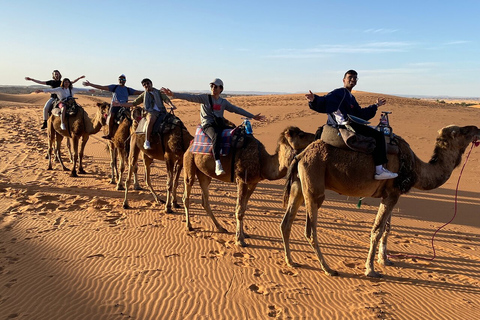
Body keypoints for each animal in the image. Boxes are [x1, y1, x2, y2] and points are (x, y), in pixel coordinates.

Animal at [183, 126, 316, 246]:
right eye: (301, 135)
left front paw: (243, 235)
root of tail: (190, 145)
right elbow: (239, 210)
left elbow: (244, 208)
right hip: (189, 163)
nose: (315, 135)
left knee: (205, 200)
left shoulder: (253, 183)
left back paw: (221, 228)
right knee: (187, 193)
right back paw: (189, 226)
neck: (262, 161)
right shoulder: (242, 180)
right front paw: (239, 241)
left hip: (205, 174)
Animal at [282, 125, 480, 278]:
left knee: (286, 223)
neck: (416, 168)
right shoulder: (393, 193)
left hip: (298, 186)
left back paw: (291, 261)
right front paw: (371, 270)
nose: (477, 129)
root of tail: (301, 155)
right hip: (314, 185)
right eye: (460, 131)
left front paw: (384, 260)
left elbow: (387, 228)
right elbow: (377, 230)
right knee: (310, 230)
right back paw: (328, 269)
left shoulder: (391, 194)